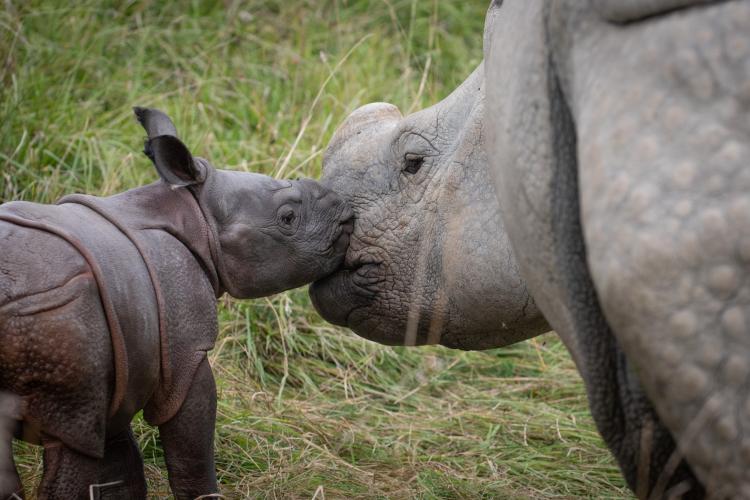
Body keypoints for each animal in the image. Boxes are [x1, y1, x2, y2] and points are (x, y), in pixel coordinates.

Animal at [0, 107, 356, 498]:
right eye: (288, 217)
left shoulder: (123, 368)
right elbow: (191, 447)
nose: (345, 210)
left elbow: (120, 470)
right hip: (54, 319)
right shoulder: (181, 350)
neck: (197, 217)